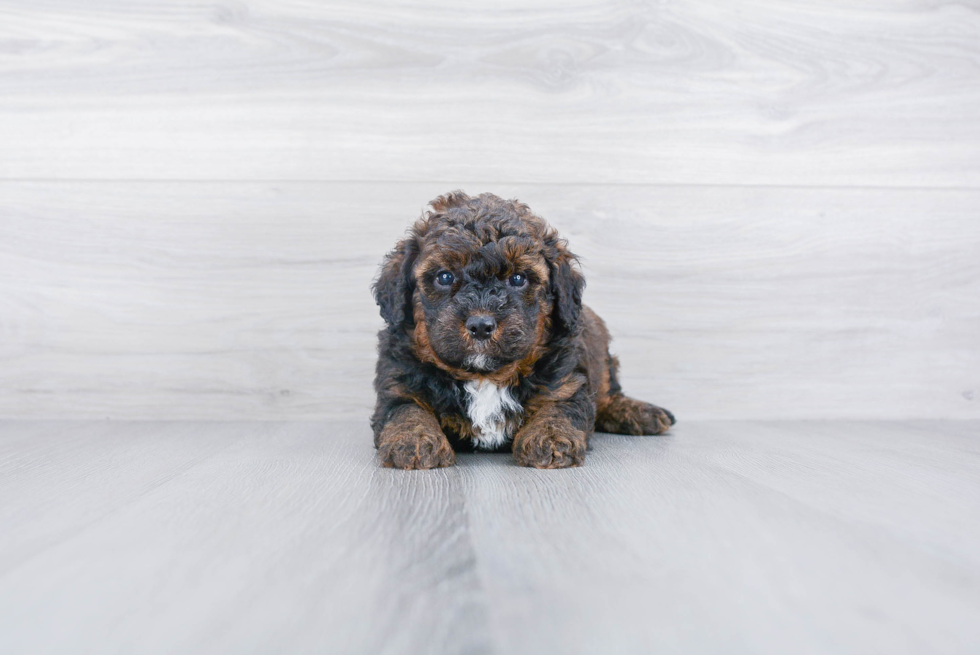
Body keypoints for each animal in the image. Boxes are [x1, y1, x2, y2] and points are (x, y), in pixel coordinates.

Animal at [368, 191, 672, 472]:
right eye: (444, 276)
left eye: (518, 278)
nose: (481, 325)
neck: (483, 377)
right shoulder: (398, 380)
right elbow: (406, 408)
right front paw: (415, 440)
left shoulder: (566, 380)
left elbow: (559, 405)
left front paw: (550, 437)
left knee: (609, 394)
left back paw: (639, 412)